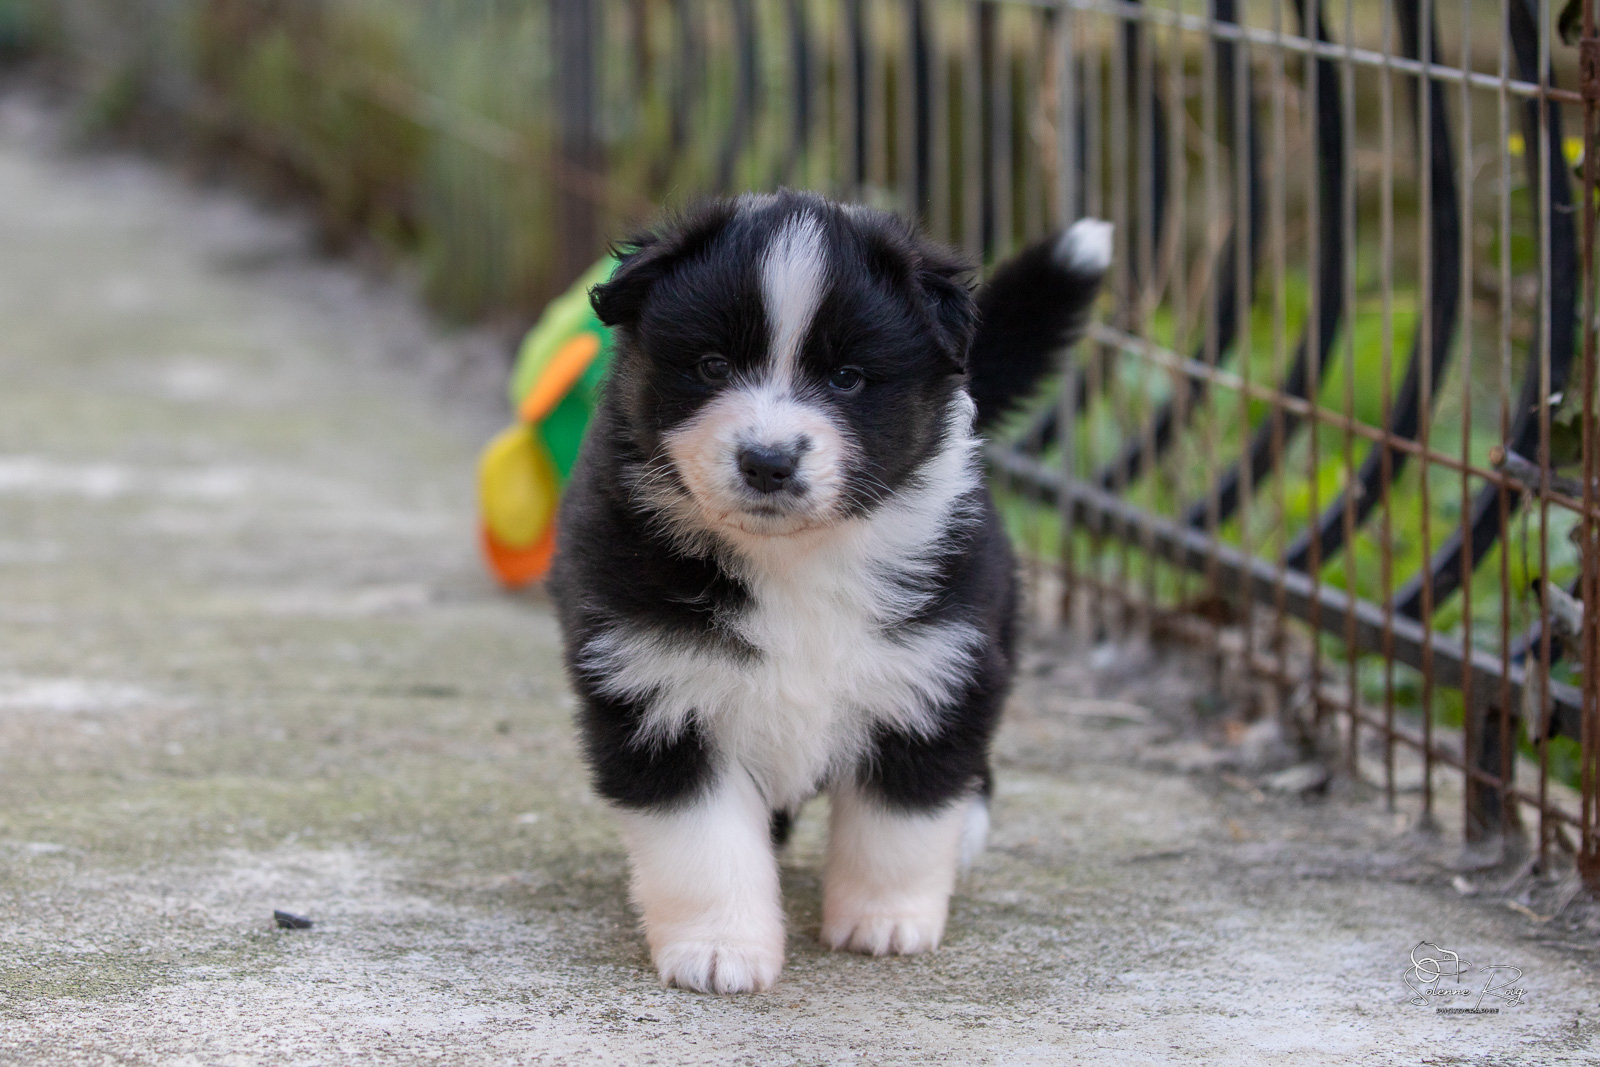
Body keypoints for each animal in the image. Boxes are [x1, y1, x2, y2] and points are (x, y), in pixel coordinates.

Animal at [549, 191, 1110, 993]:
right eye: (713, 364)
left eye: (847, 377)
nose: (768, 460)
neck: (793, 560)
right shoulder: (656, 688)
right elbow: (703, 840)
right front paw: (719, 948)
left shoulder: (934, 668)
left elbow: (900, 820)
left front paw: (885, 920)